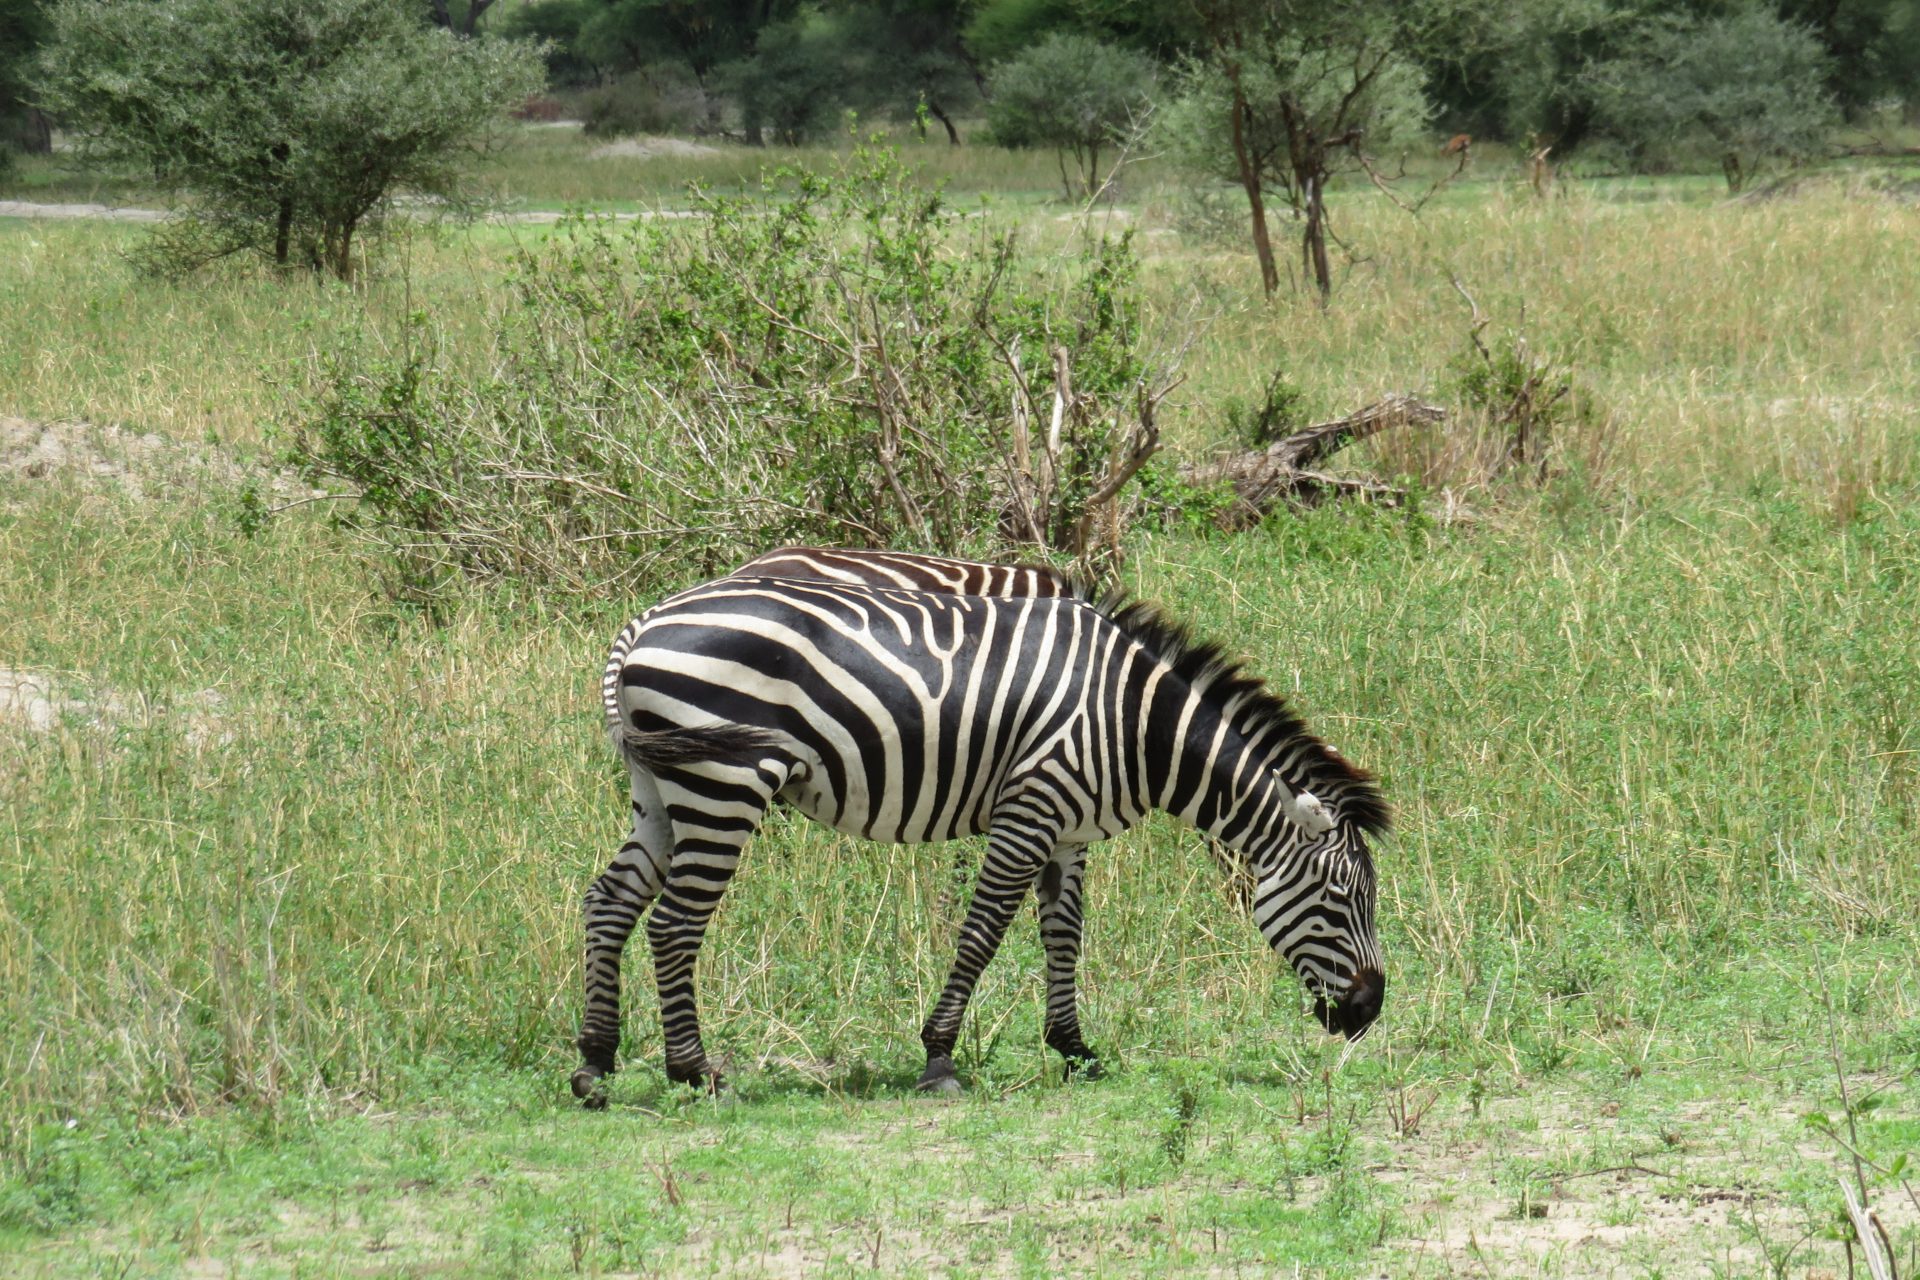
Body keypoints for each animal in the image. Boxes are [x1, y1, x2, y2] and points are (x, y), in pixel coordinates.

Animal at [576, 579, 1390, 1105]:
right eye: (1340, 898)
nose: (1368, 1014)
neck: (1133, 727)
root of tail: (641, 626)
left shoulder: (1068, 829)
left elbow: (1064, 936)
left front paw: (1074, 1048)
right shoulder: (1031, 808)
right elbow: (983, 933)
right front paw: (939, 1058)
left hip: (660, 790)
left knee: (609, 902)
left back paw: (595, 1064)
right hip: (725, 782)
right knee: (675, 924)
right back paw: (693, 1072)